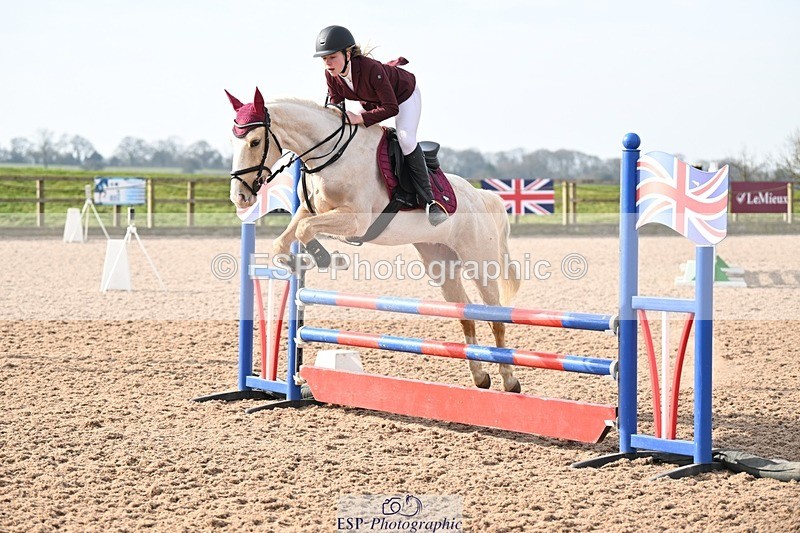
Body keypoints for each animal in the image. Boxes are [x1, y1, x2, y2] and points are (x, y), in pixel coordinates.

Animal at [226, 88, 523, 393]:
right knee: (466, 316)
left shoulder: (355, 221)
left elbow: (304, 230)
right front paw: (296, 261)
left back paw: (510, 380)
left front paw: (326, 258)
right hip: (441, 265)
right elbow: (286, 240)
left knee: (496, 319)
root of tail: (480, 196)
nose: (240, 197)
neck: (331, 157)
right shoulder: (308, 211)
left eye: (255, 141)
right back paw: (480, 377)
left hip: (479, 262)